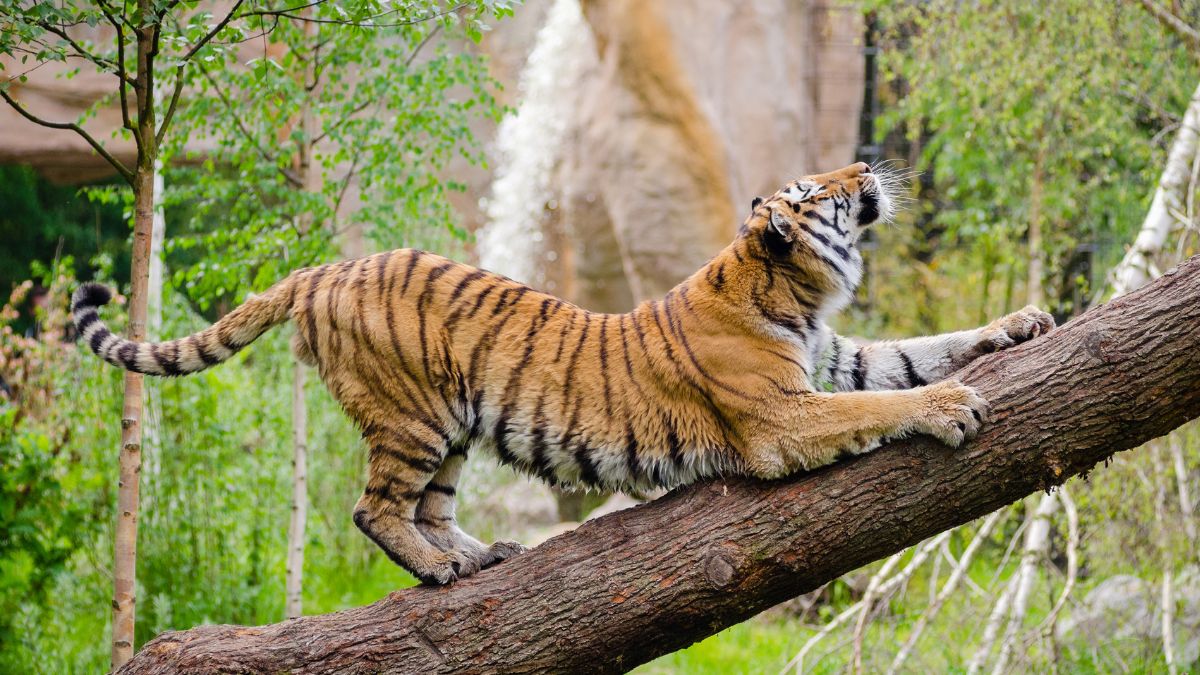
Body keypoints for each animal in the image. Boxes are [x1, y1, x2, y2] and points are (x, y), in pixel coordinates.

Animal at [72, 161, 1055, 585]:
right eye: (820, 191)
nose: (865, 165)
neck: (796, 291)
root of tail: (324, 268)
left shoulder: (835, 359)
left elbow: (918, 349)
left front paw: (1021, 321)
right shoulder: (781, 417)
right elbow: (896, 395)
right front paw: (954, 406)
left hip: (455, 429)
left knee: (432, 506)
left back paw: (476, 554)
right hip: (415, 416)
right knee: (373, 507)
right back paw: (438, 572)